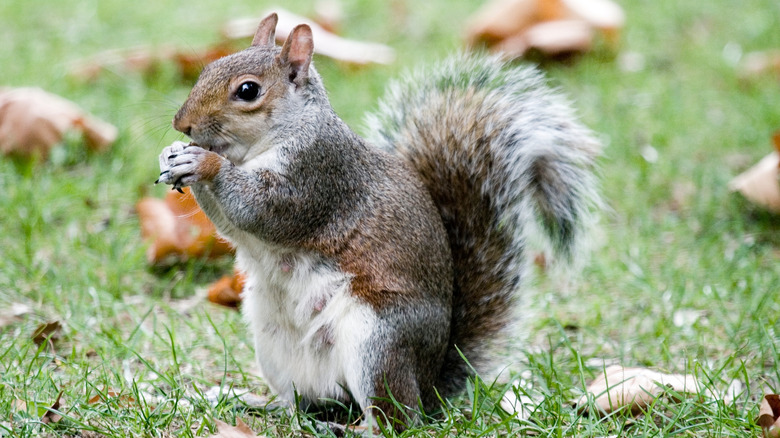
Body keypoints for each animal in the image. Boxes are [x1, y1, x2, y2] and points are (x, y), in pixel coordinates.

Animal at [155, 12, 600, 430]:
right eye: (208, 70)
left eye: (248, 90)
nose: (182, 124)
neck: (265, 143)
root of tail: (429, 384)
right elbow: (231, 225)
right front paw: (172, 154)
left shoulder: (316, 177)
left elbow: (259, 209)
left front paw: (204, 162)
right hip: (273, 343)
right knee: (304, 400)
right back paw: (254, 400)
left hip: (378, 341)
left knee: (398, 417)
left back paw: (355, 428)